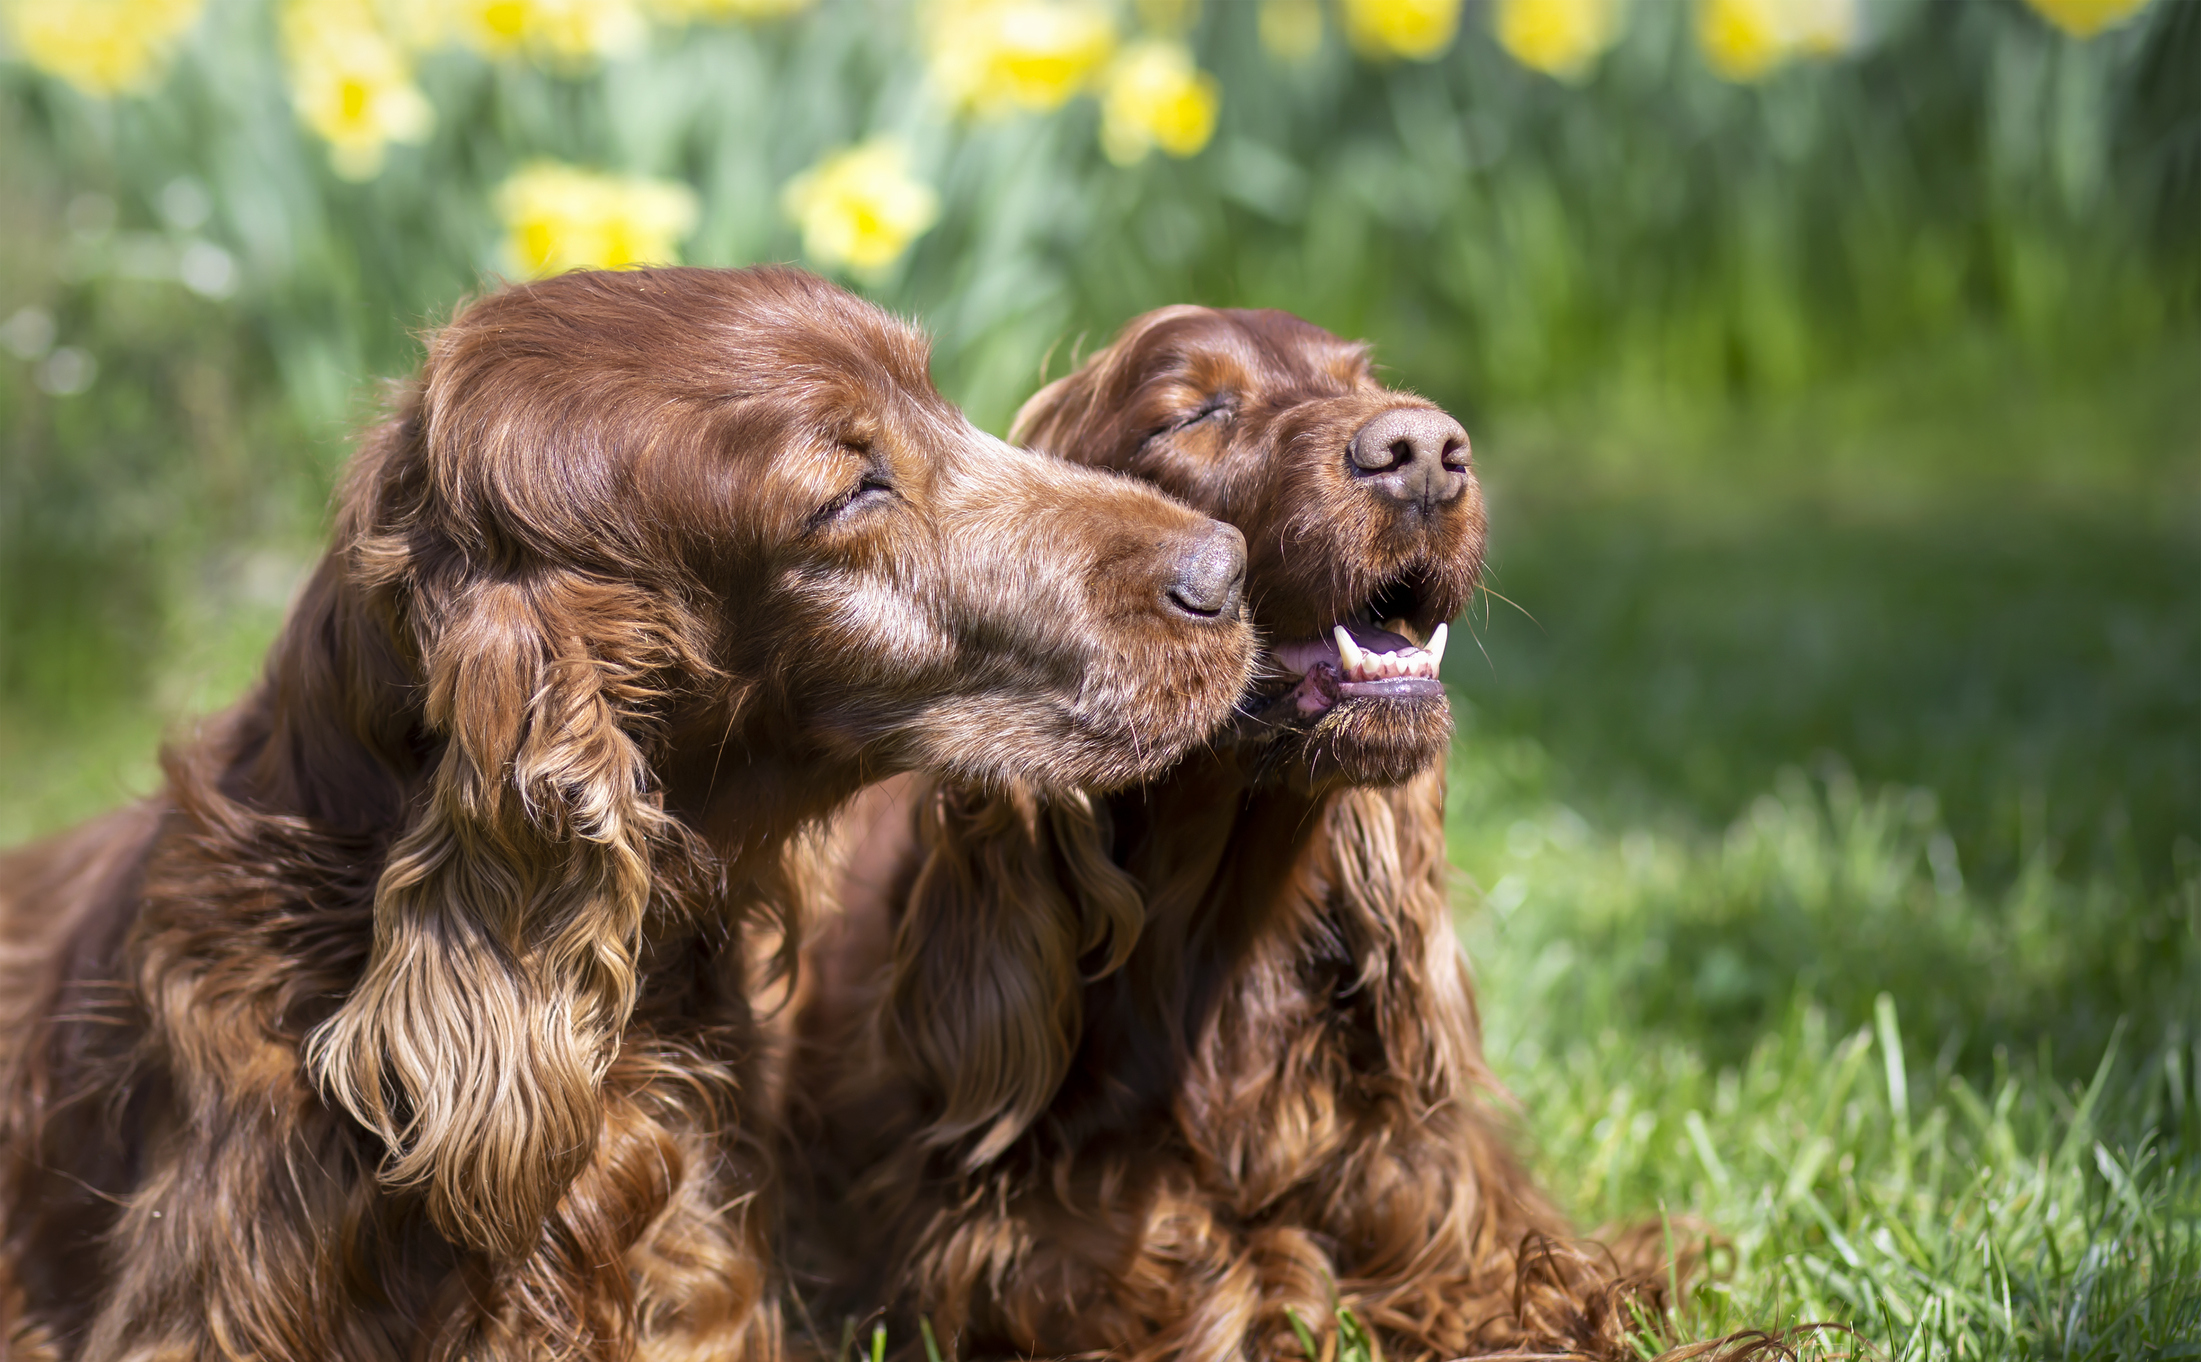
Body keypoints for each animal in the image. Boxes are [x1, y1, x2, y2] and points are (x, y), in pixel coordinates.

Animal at [783, 308, 1655, 1362]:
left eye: (1362, 385)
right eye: (1193, 413)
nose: (1424, 451)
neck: (1223, 956)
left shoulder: (1458, 1213)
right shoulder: (1008, 1253)